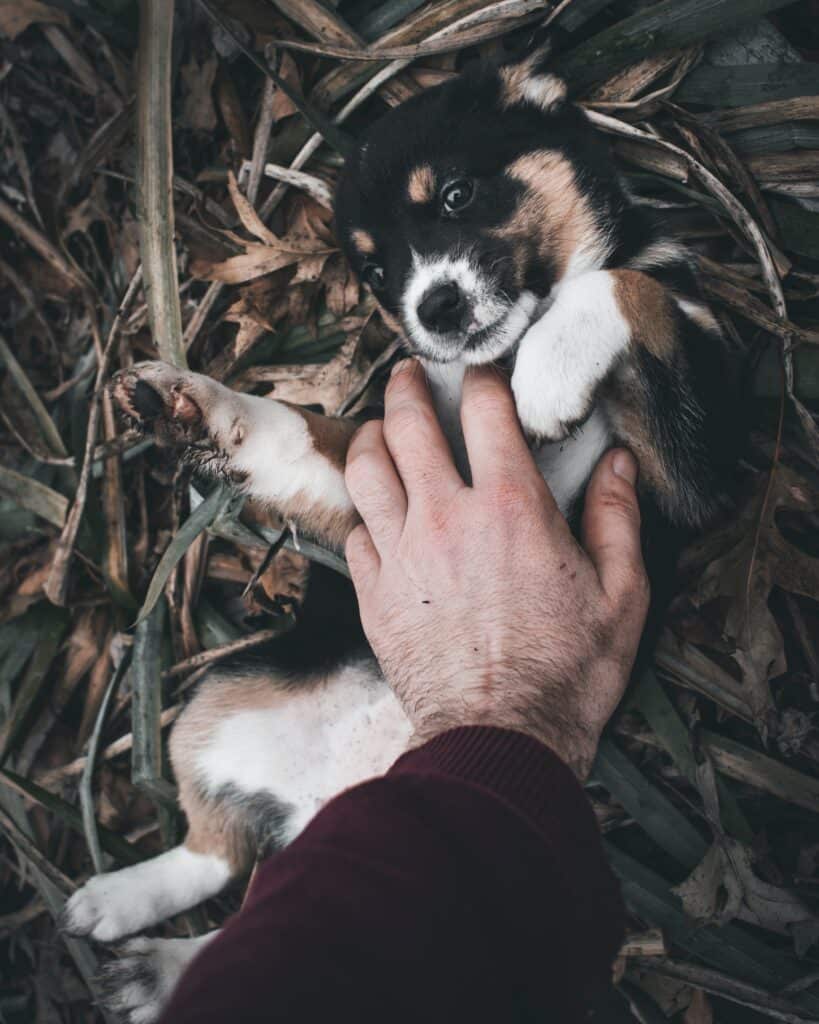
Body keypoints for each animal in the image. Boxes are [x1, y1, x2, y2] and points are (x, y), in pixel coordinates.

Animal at [63, 44, 737, 1019]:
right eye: (377, 277)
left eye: (456, 194)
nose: (437, 309)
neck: (498, 353)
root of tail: (318, 805)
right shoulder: (369, 473)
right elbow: (294, 431)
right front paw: (190, 399)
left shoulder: (696, 468)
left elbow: (630, 285)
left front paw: (549, 375)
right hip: (207, 706)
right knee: (212, 853)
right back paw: (126, 915)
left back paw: (152, 964)